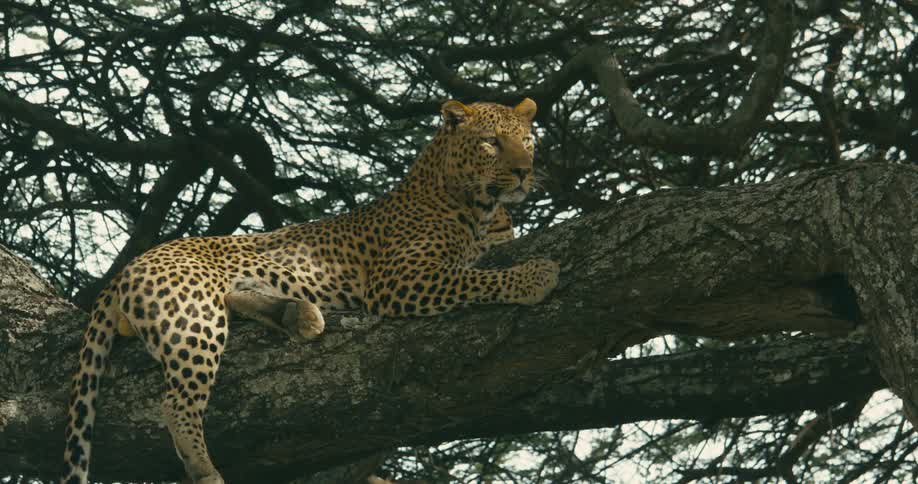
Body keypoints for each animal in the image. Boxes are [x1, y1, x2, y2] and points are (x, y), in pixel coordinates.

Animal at [60, 98, 560, 484]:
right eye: (491, 142)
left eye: (528, 141)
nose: (524, 172)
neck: (483, 208)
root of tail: (131, 264)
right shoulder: (400, 277)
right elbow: (475, 278)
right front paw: (536, 275)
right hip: (192, 316)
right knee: (175, 400)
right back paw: (204, 467)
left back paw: (300, 316)